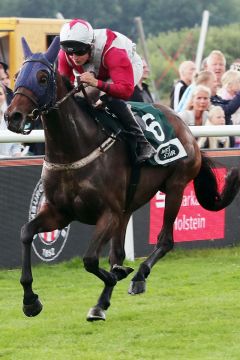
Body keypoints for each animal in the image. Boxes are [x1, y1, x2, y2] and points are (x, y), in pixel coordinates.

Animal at [5, 36, 240, 322]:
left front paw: (118, 275)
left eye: (42, 77)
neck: (75, 148)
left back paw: (138, 276)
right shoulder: (60, 213)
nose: (13, 116)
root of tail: (187, 129)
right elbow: (26, 233)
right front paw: (30, 300)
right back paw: (102, 300)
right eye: (17, 75)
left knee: (165, 240)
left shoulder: (108, 213)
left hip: (174, 187)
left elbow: (90, 260)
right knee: (119, 251)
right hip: (127, 207)